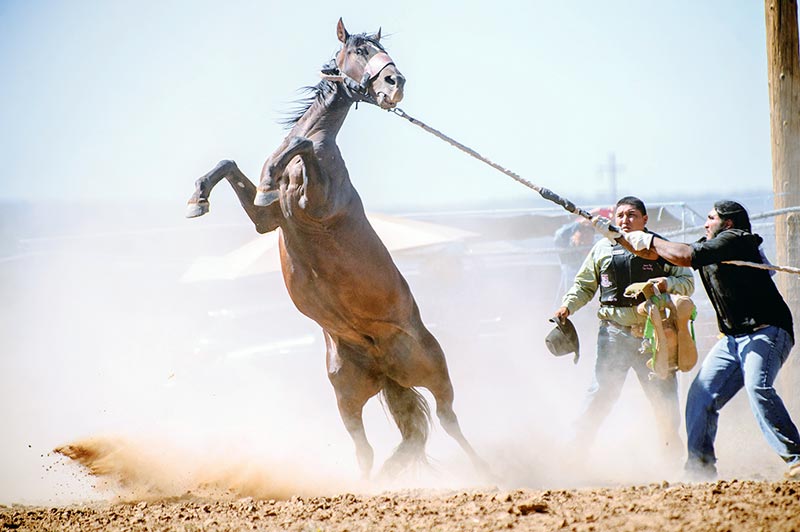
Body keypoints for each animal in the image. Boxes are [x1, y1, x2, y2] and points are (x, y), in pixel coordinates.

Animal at [186, 18, 488, 480]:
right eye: (359, 50)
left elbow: (304, 148)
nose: (395, 82)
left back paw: (488, 472)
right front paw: (198, 198)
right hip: (347, 396)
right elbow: (229, 166)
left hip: (433, 370)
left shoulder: (318, 206)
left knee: (449, 419)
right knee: (368, 450)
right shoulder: (268, 223)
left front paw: (269, 180)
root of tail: (383, 364)